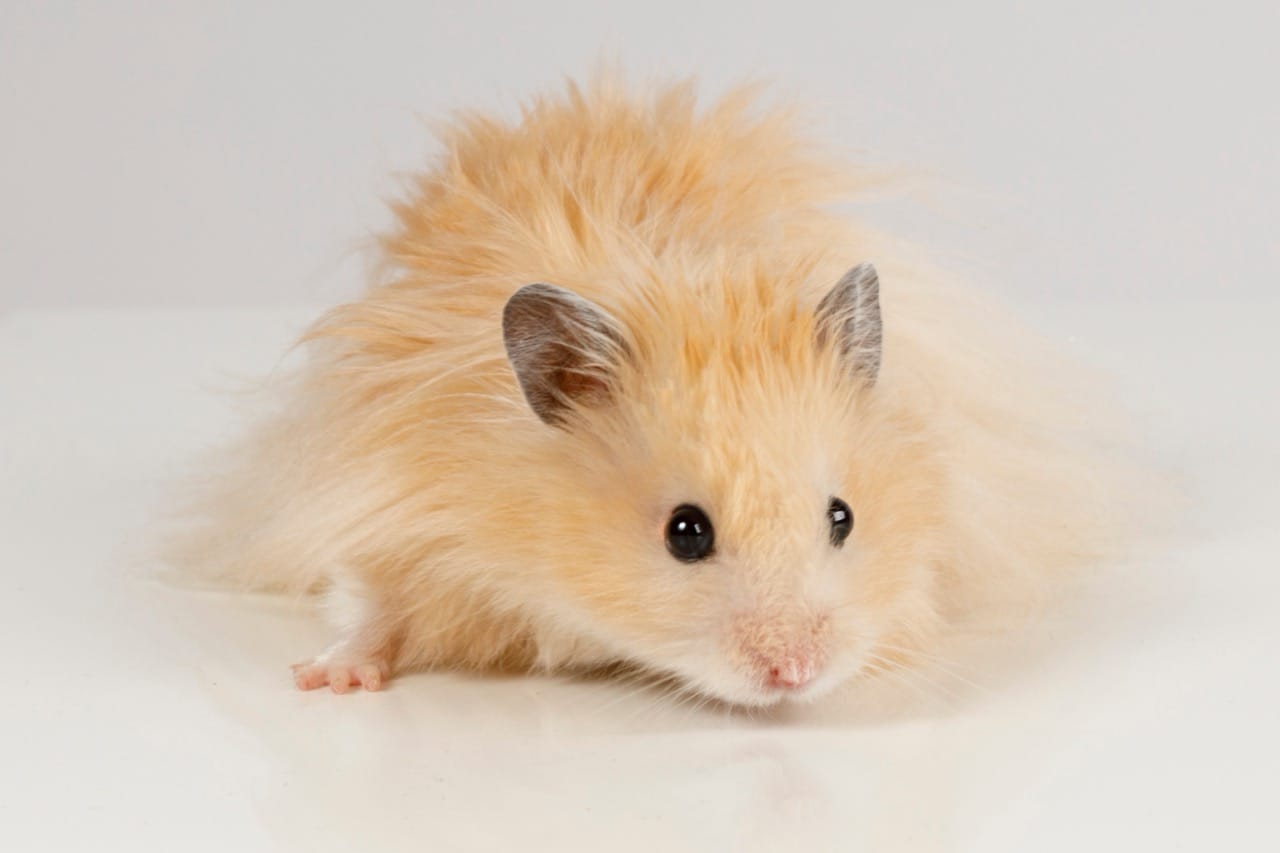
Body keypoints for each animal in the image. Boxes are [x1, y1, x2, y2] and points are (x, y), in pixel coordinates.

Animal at [171, 77, 1129, 706]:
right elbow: (372, 604)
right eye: (685, 533)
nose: (795, 675)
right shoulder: (396, 502)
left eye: (844, 518)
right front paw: (329, 680)